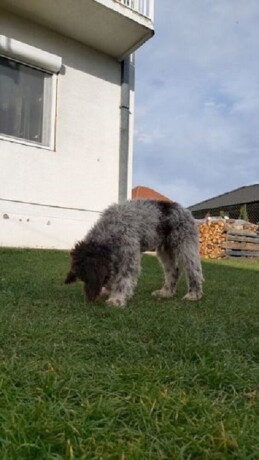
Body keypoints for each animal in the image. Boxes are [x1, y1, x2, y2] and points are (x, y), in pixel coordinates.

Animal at [64, 199, 203, 308]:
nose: (90, 300)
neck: (110, 230)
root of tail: (185, 210)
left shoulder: (129, 256)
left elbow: (123, 279)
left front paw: (117, 298)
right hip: (165, 250)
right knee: (173, 271)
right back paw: (165, 293)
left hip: (185, 245)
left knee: (194, 270)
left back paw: (194, 294)